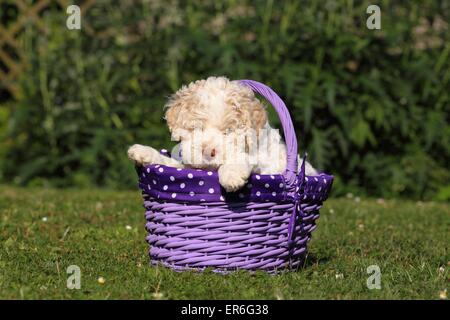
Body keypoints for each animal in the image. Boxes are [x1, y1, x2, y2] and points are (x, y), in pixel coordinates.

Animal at [126, 76, 316, 191]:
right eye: (196, 127)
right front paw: (143, 152)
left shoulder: (267, 163)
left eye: (229, 131)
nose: (208, 151)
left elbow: (244, 158)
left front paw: (231, 174)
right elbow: (168, 161)